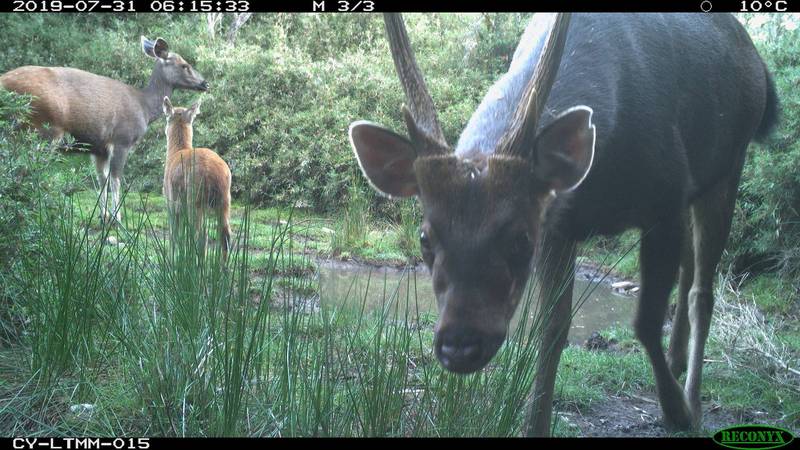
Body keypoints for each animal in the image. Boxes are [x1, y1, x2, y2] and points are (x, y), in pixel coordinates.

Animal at [0, 37, 209, 225]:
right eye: (184, 65)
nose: (205, 83)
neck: (144, 108)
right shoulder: (122, 140)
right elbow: (116, 180)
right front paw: (117, 219)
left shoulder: (98, 148)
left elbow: (102, 181)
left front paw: (103, 216)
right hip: (43, 130)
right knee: (26, 170)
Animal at [162, 96, 231, 262]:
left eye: (166, 118)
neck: (175, 152)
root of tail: (216, 174)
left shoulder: (171, 200)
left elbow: (174, 235)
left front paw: (171, 260)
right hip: (225, 198)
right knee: (225, 235)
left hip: (195, 197)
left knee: (201, 235)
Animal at [348, 12, 776, 436]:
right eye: (424, 237)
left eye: (521, 239)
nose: (460, 345)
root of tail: (757, 61)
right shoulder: (560, 225)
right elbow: (552, 330)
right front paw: (535, 425)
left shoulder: (667, 196)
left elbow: (646, 321)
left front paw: (677, 412)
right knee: (689, 271)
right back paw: (676, 362)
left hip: (729, 164)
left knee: (702, 292)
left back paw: (693, 398)